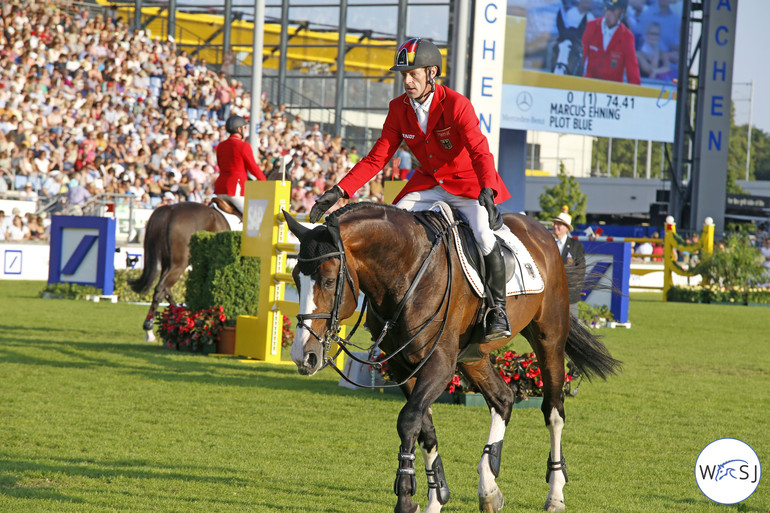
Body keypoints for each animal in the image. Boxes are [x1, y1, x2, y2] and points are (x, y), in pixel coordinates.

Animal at [128, 200, 234, 340]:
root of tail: (170, 210)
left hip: (167, 262)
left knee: (164, 289)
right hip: (180, 263)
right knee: (162, 287)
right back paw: (152, 325)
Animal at [282, 204, 616, 512]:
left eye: (328, 281)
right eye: (296, 278)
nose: (303, 356)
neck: (406, 271)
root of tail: (541, 232)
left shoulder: (439, 365)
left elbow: (408, 421)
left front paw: (405, 497)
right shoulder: (403, 365)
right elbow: (424, 428)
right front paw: (435, 496)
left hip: (549, 340)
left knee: (553, 411)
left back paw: (555, 494)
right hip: (473, 356)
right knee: (503, 398)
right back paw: (489, 487)